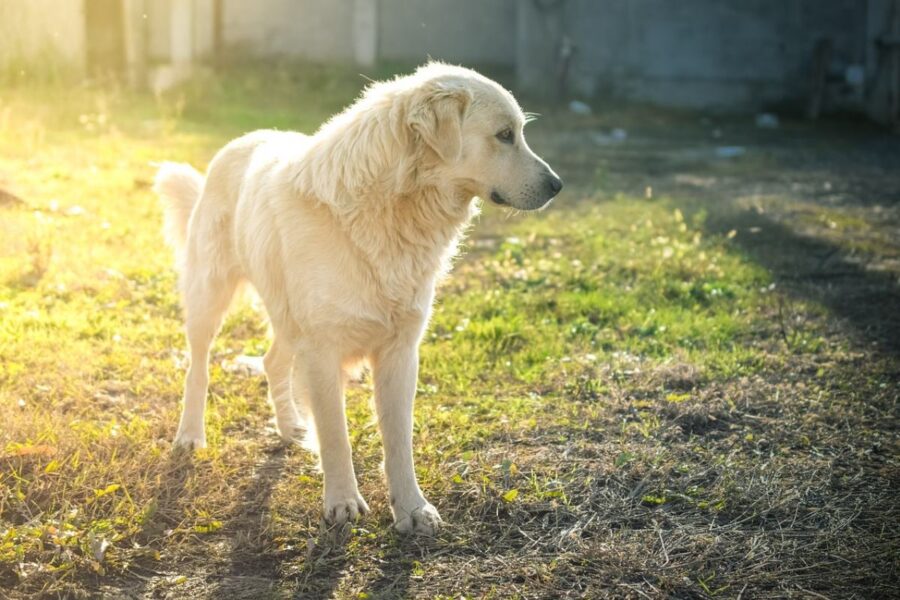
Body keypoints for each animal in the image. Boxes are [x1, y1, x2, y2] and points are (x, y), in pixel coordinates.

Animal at [155, 64, 564, 536]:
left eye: (518, 133)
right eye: (504, 135)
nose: (558, 185)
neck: (389, 210)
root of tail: (242, 140)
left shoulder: (400, 352)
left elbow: (399, 440)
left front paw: (412, 508)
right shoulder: (322, 350)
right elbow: (336, 436)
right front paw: (342, 502)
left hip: (288, 320)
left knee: (273, 362)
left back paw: (291, 427)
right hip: (210, 298)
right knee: (198, 370)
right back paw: (190, 436)